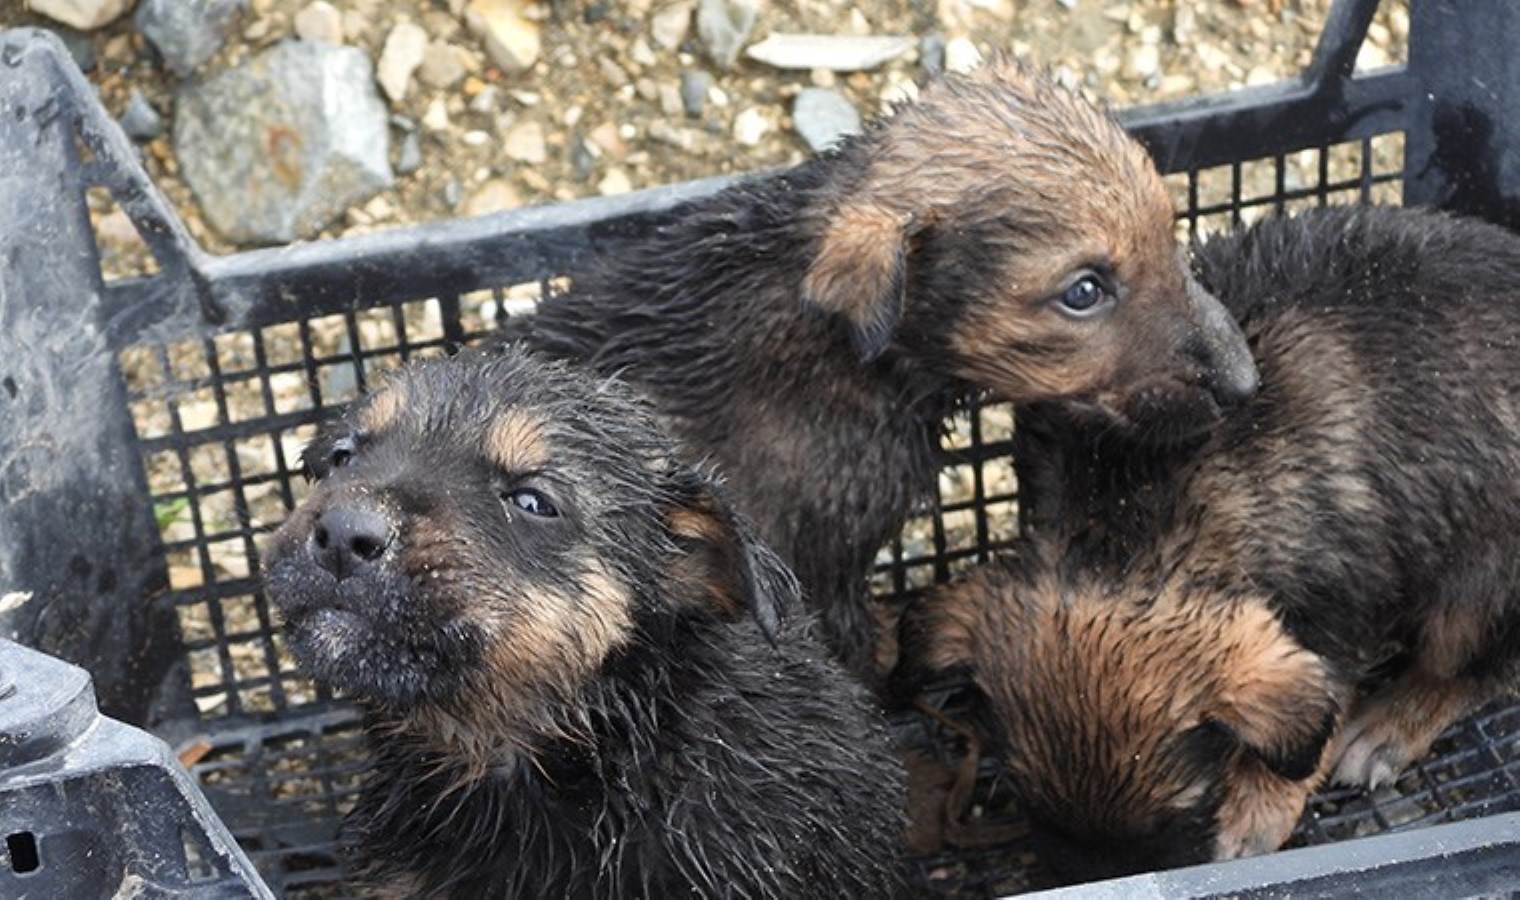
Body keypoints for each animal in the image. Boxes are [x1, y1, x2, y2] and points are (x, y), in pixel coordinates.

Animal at [893, 203, 1520, 881]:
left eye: (1178, 816)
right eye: (1023, 797)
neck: (1128, 519)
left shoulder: (1340, 609)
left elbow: (1313, 723)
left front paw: (1257, 804)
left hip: (1481, 581)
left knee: (1478, 668)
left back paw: (1390, 725)